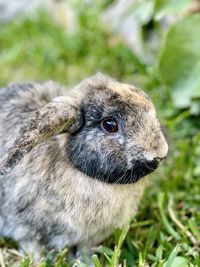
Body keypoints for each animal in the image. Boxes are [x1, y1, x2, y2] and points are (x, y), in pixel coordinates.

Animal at [0, 74, 169, 264]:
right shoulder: (24, 228)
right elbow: (32, 246)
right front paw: (39, 262)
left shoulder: (88, 239)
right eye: (110, 125)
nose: (159, 154)